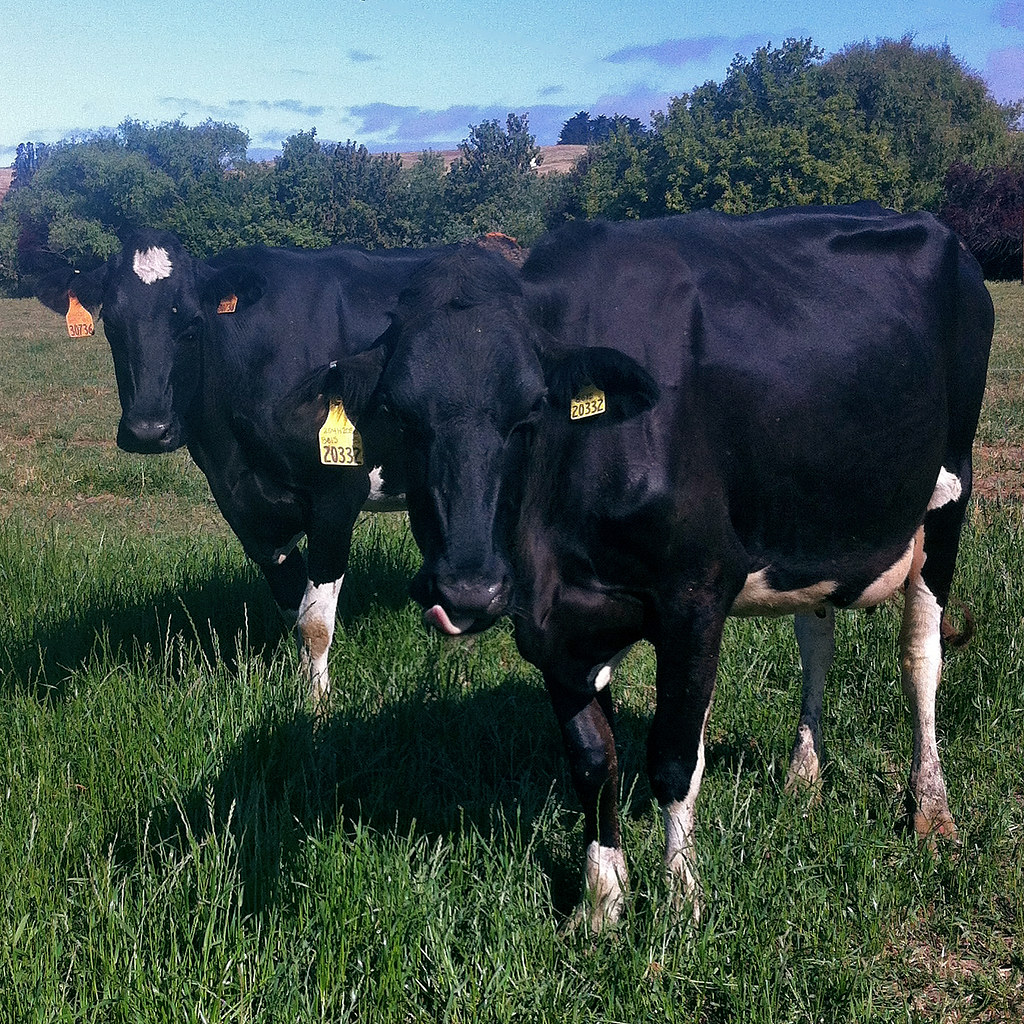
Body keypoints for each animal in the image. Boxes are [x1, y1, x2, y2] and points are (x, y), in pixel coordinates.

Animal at [20, 228, 458, 705]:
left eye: (193, 324)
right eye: (112, 326)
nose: (148, 430)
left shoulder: (337, 493)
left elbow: (315, 623)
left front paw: (317, 706)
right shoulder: (242, 504)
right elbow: (292, 608)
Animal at [290, 204, 994, 929]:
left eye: (530, 410)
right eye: (398, 415)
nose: (467, 590)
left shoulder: (696, 595)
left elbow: (674, 757)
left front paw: (681, 899)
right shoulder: (555, 624)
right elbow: (593, 760)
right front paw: (601, 902)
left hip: (951, 489)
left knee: (921, 656)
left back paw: (932, 808)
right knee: (816, 640)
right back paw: (804, 774)